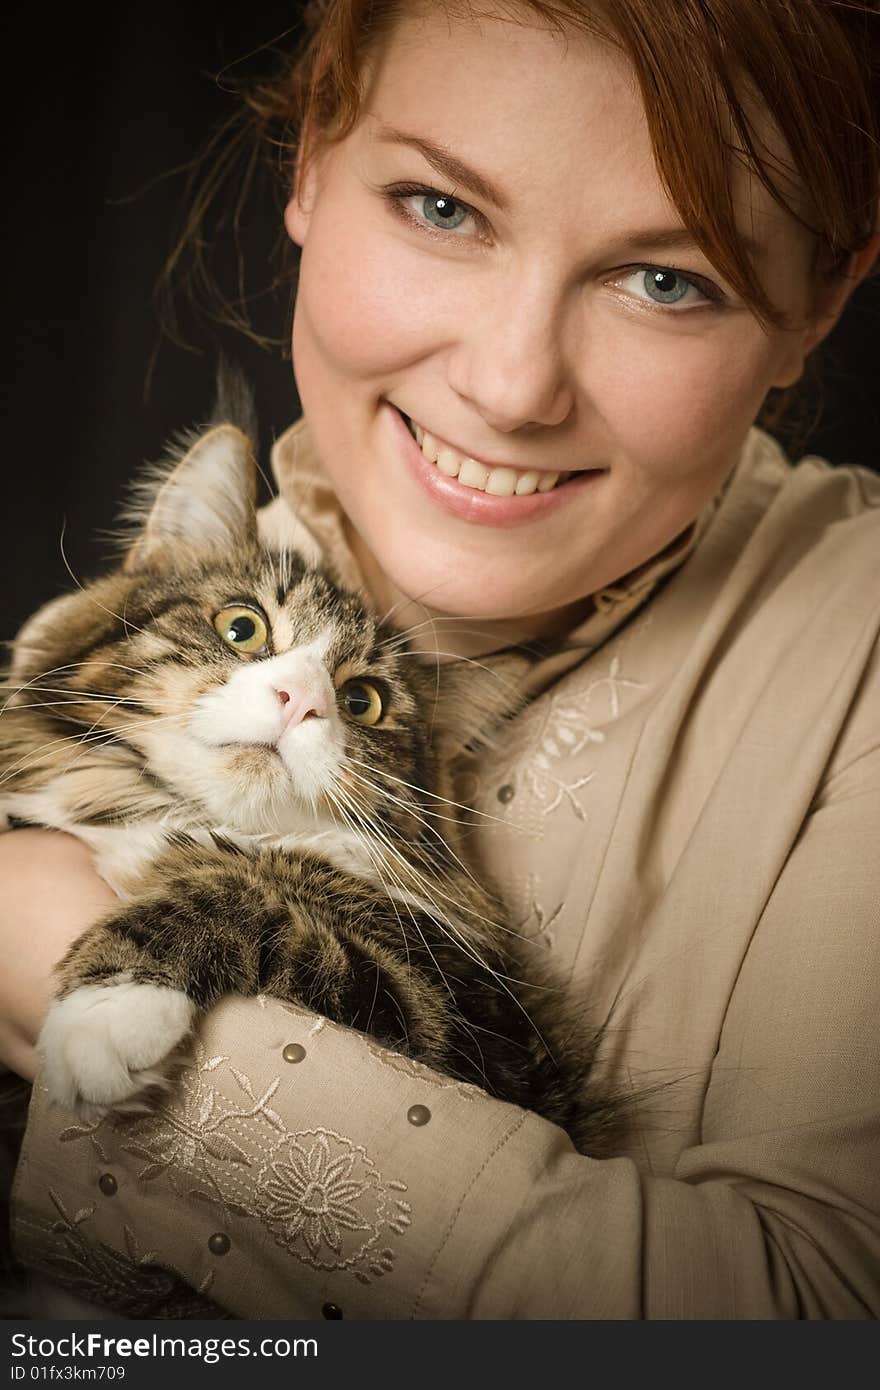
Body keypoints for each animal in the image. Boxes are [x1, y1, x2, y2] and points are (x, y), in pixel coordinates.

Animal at [1, 414, 617, 1162]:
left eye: (361, 702)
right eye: (242, 628)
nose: (300, 700)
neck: (159, 812)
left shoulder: (465, 1021)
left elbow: (241, 894)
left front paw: (109, 1013)